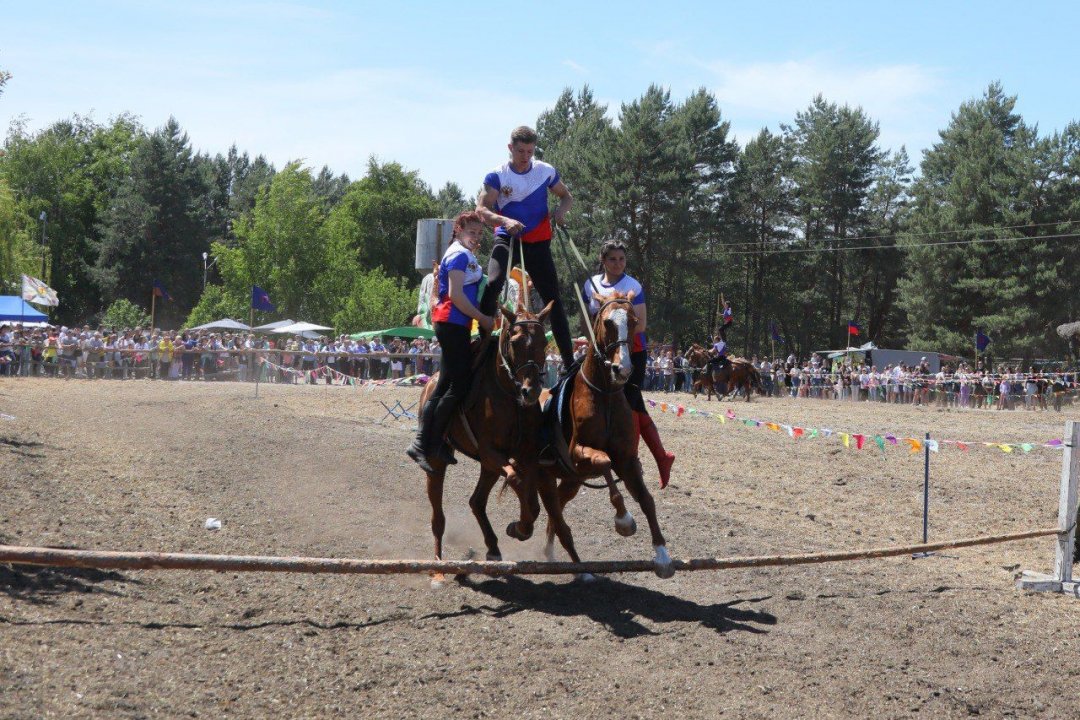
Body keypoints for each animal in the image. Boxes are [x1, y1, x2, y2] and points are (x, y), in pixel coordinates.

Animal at [416, 297, 583, 587]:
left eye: (543, 342)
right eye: (515, 341)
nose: (531, 391)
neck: (508, 395)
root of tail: (431, 383)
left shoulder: (526, 455)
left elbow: (534, 502)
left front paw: (521, 527)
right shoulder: (490, 452)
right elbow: (516, 480)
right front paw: (519, 527)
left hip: (488, 467)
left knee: (476, 501)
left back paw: (493, 549)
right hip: (440, 463)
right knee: (438, 518)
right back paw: (438, 568)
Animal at [535, 293, 669, 578]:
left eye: (633, 321)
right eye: (607, 322)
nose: (623, 368)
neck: (604, 396)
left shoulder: (627, 461)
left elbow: (646, 500)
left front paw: (662, 555)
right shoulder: (577, 454)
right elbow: (605, 462)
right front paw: (624, 520)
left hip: (571, 481)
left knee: (557, 507)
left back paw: (552, 552)